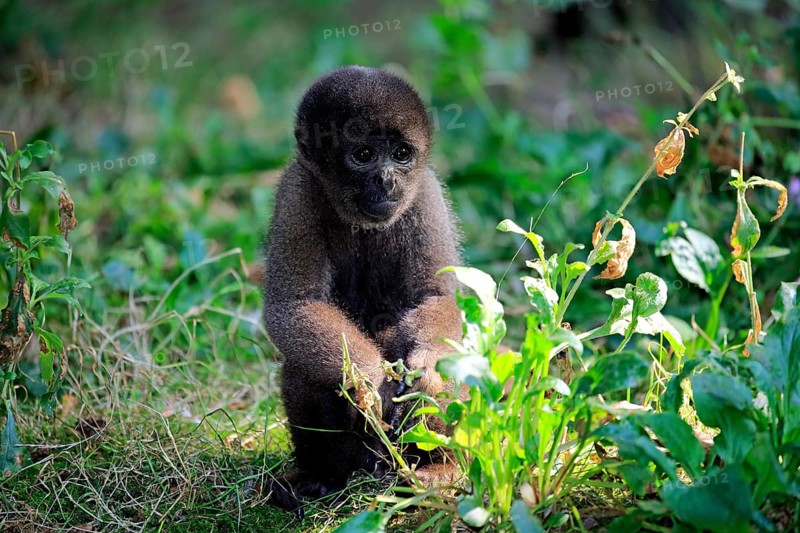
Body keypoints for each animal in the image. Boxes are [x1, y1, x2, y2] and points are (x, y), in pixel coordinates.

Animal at [262, 66, 462, 511]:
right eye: (364, 155)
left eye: (402, 155)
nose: (387, 181)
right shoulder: (295, 192)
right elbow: (293, 305)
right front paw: (366, 380)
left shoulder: (425, 191)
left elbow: (438, 298)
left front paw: (425, 371)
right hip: (360, 452)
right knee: (306, 363)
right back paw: (320, 475)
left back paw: (440, 469)